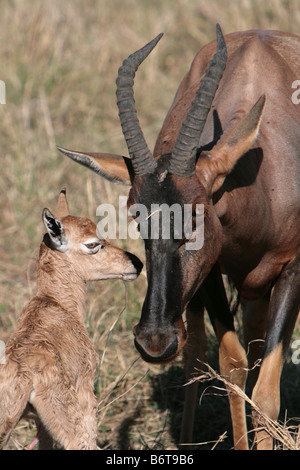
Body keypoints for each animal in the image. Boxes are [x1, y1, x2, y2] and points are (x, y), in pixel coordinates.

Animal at [57, 24, 298, 448]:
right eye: (137, 218)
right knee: (198, 352)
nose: (154, 340)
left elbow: (266, 394)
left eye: (196, 217)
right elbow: (231, 366)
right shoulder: (213, 272)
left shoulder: (292, 268)